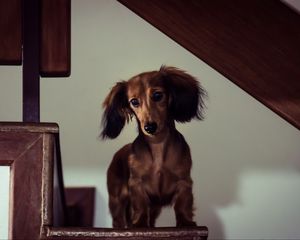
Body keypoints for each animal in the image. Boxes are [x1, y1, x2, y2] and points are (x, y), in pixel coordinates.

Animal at [101, 66, 206, 229]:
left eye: (157, 95)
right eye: (134, 101)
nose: (149, 127)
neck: (158, 144)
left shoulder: (184, 181)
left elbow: (182, 204)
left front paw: (186, 222)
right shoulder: (136, 184)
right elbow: (140, 206)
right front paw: (139, 224)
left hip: (155, 207)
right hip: (116, 199)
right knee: (118, 219)